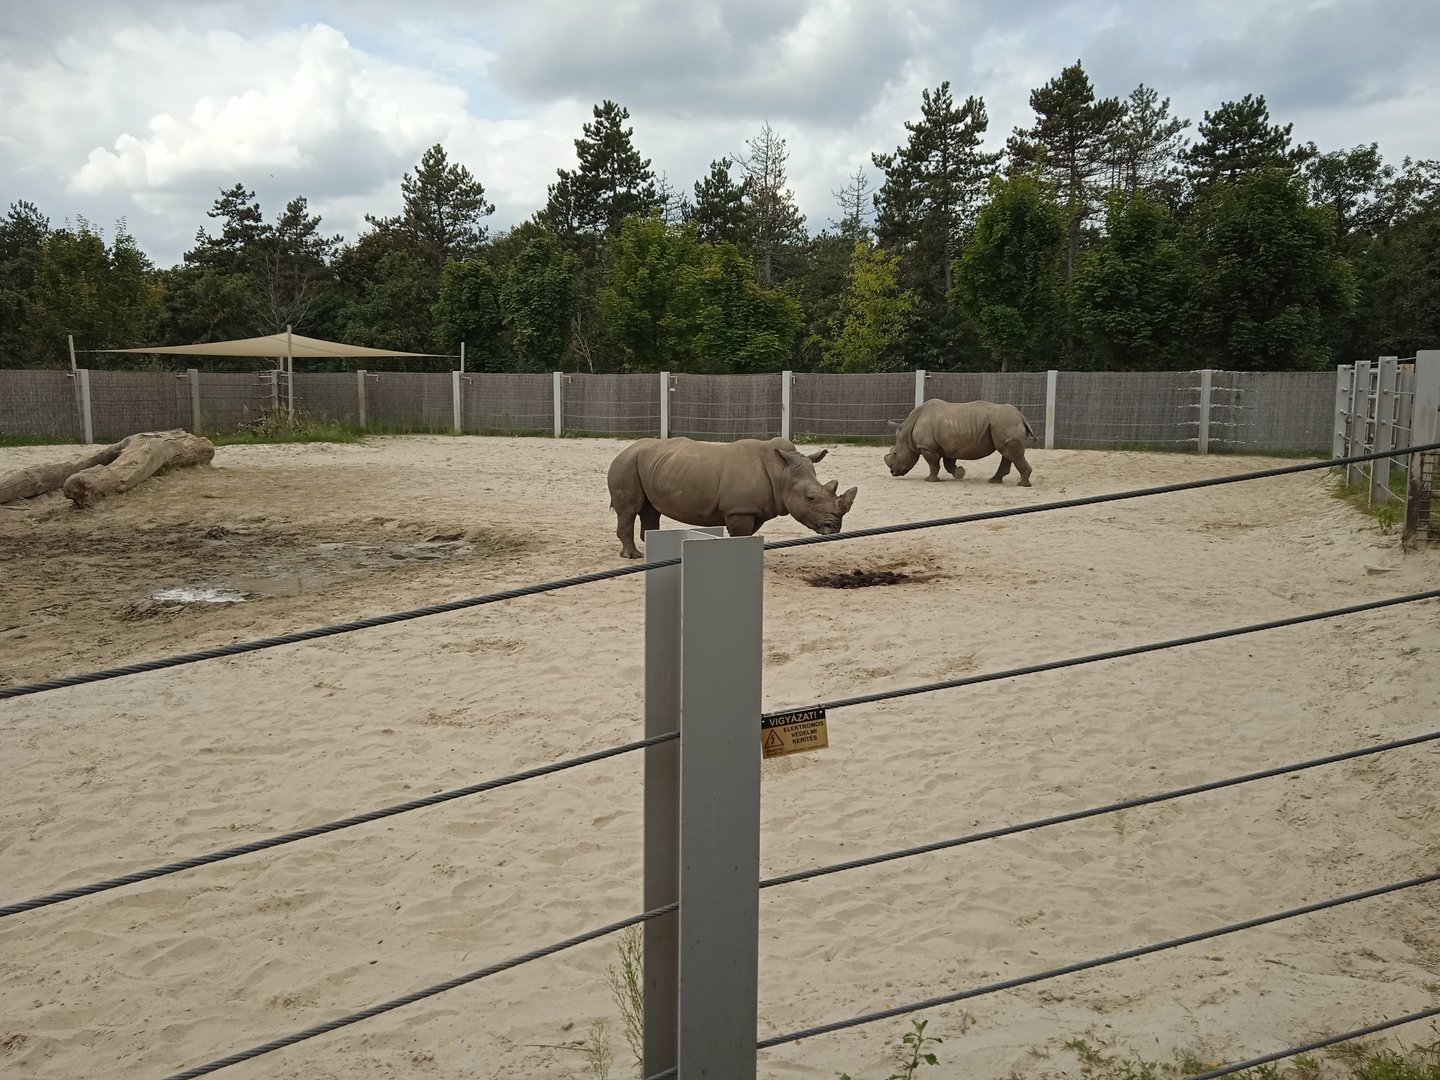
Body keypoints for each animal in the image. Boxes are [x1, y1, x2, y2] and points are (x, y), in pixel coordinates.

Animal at [607, 436, 858, 559]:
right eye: (810, 498)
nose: (835, 527)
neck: (782, 473)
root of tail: (624, 450)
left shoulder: (752, 509)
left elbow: (747, 535)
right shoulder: (740, 510)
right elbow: (741, 535)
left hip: (648, 463)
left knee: (650, 509)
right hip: (626, 464)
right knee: (629, 510)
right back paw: (632, 557)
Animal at [885, 398, 1036, 486]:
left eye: (895, 453)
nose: (892, 472)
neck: (906, 433)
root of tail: (1022, 417)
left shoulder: (927, 447)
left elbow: (933, 464)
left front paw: (930, 480)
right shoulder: (947, 446)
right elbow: (948, 464)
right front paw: (960, 473)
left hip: (1006, 422)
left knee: (1010, 453)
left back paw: (1022, 484)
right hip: (1005, 423)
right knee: (1006, 452)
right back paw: (994, 481)